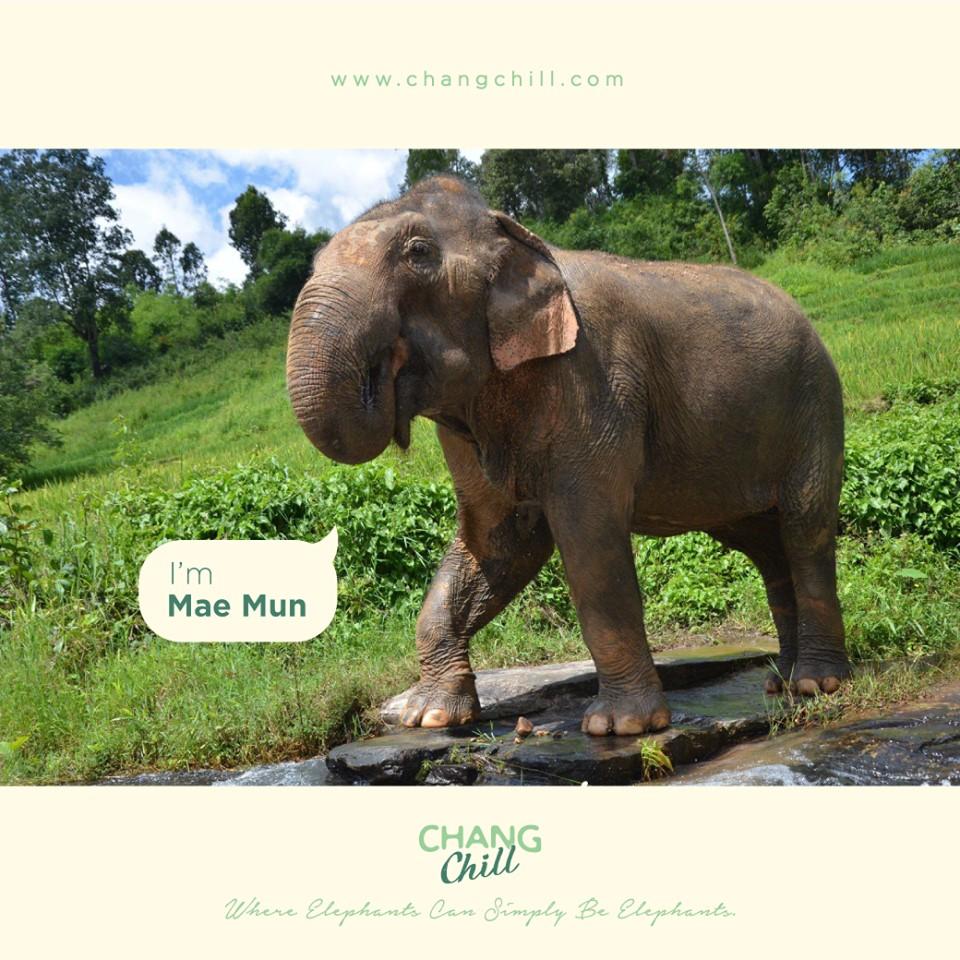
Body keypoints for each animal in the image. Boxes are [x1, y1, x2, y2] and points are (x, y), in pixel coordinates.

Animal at [286, 175, 851, 737]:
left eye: (418, 253)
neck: (514, 232)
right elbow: (495, 540)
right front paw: (429, 717)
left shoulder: (594, 383)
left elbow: (588, 539)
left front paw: (620, 727)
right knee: (766, 547)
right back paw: (781, 681)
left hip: (816, 405)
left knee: (804, 529)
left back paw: (816, 683)